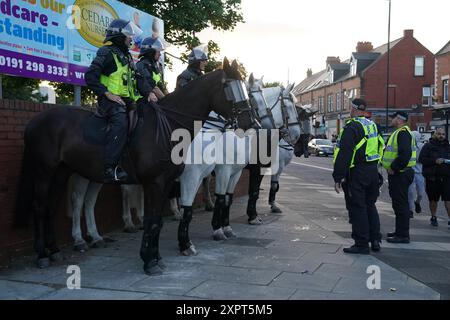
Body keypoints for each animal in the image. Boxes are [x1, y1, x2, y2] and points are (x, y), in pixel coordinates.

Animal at [14, 57, 256, 276]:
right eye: (230, 88)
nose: (250, 124)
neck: (168, 127)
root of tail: (35, 121)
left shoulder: (167, 182)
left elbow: (157, 221)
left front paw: (156, 258)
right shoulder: (162, 182)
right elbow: (156, 219)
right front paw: (151, 260)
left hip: (63, 171)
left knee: (55, 207)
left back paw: (57, 250)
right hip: (45, 170)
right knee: (43, 206)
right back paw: (45, 253)